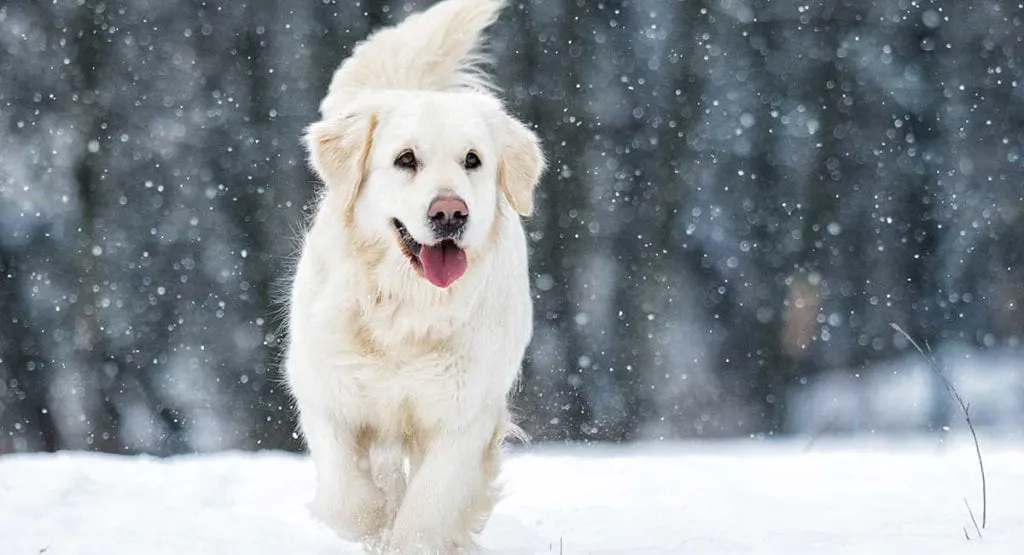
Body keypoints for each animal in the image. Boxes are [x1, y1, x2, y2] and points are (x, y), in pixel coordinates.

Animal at [282, 2, 544, 552]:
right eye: (406, 159)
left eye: (472, 160)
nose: (450, 213)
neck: (405, 307)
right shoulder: (327, 392)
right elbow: (349, 499)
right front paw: (369, 529)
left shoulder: (463, 416)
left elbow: (428, 509)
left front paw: (413, 538)